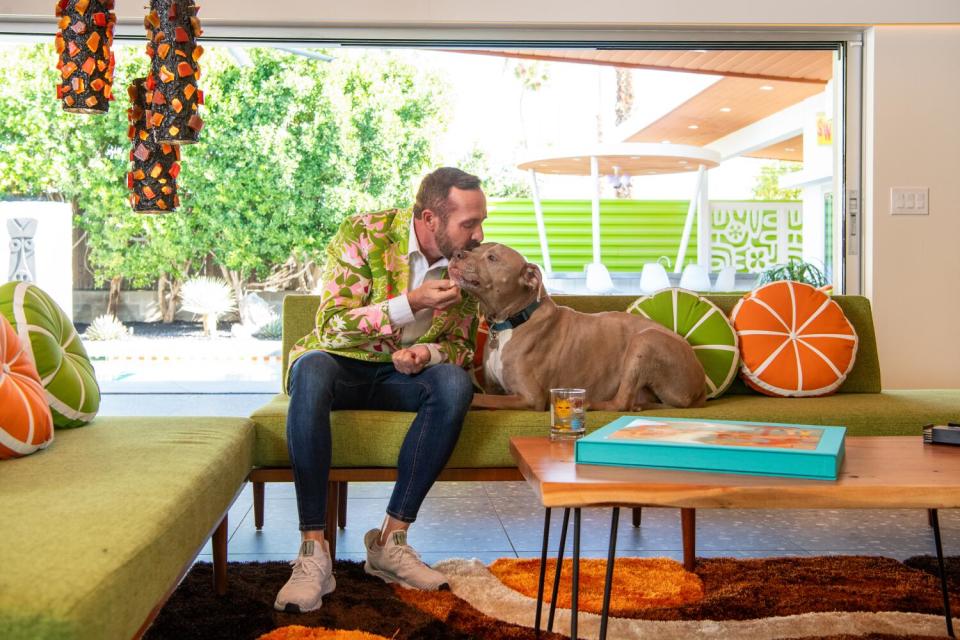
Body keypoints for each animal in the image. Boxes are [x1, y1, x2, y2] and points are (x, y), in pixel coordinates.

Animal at [448, 242, 704, 412]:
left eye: (492, 258)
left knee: (621, 403)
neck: (512, 320)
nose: (456, 253)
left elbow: (480, 399)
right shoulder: (494, 388)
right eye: (475, 248)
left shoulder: (530, 398)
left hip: (645, 341)